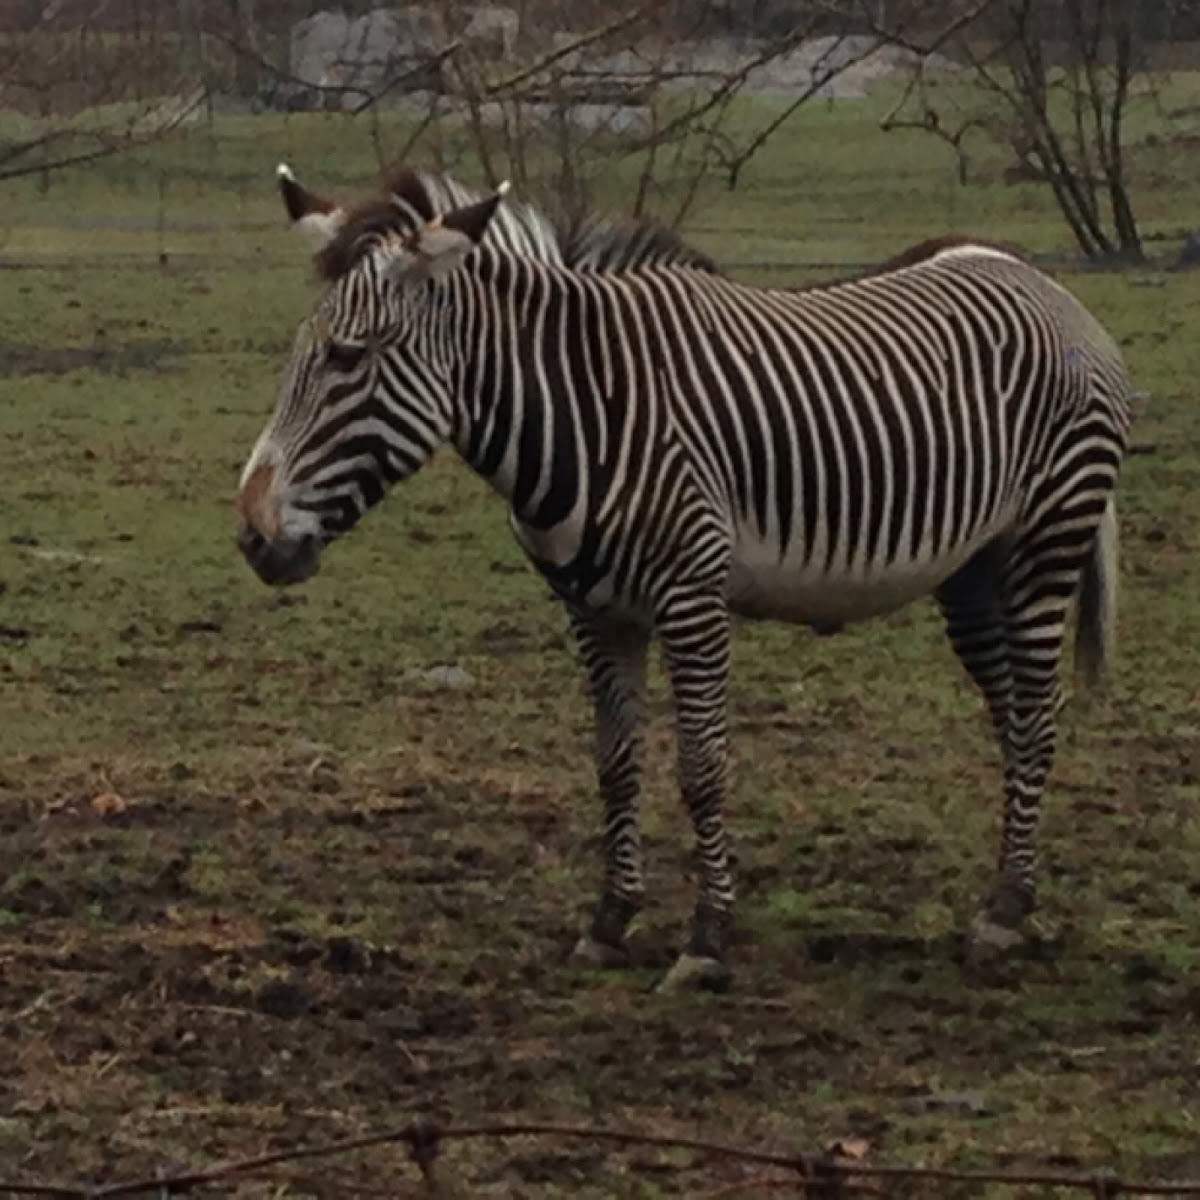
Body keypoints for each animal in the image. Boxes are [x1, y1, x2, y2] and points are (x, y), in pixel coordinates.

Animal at [236, 169, 1132, 993]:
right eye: (297, 355)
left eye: (348, 357)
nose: (252, 536)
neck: (583, 412)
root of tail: (1036, 279)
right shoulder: (595, 612)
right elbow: (614, 761)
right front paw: (610, 921)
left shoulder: (692, 598)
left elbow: (702, 768)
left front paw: (706, 939)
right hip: (972, 572)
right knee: (1013, 714)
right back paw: (1008, 897)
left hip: (1047, 538)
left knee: (1038, 715)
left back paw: (1006, 913)